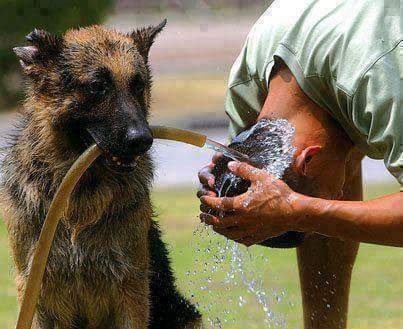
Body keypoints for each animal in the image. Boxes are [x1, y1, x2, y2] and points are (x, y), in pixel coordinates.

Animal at [0, 21, 202, 326]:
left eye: (138, 85)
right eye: (97, 87)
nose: (142, 140)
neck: (81, 193)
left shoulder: (131, 288)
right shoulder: (34, 292)